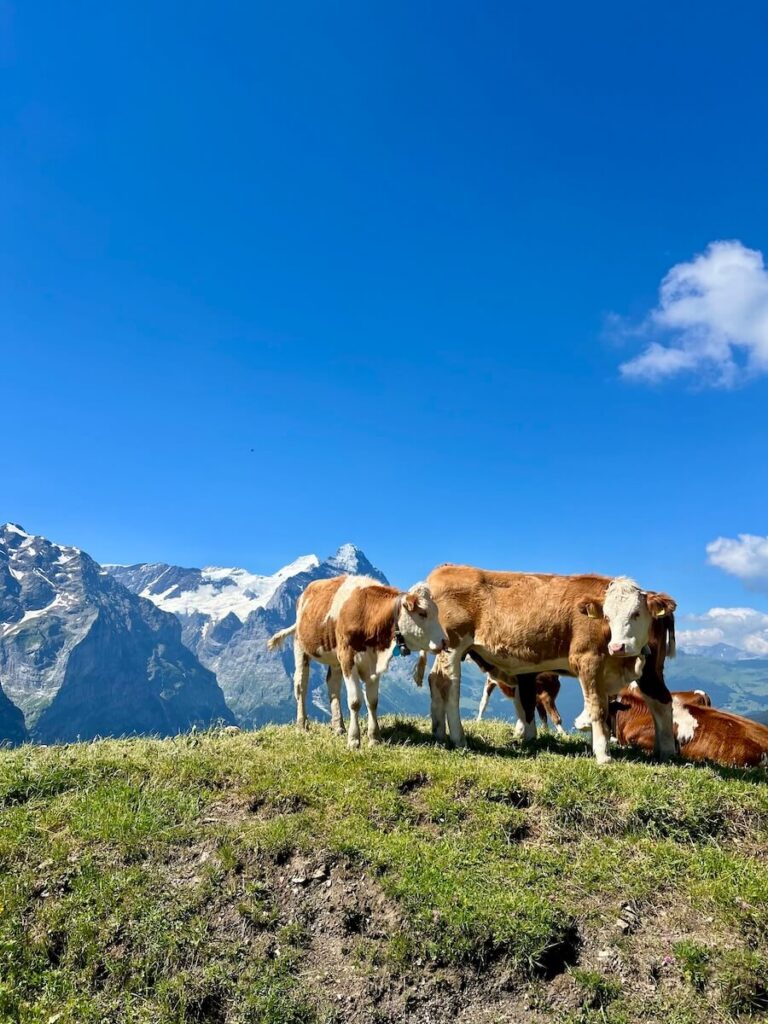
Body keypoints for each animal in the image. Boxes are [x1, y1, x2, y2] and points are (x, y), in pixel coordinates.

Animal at [267, 575, 447, 749]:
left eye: (437, 612)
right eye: (422, 613)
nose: (445, 641)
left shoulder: (373, 665)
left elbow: (372, 701)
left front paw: (374, 738)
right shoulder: (348, 658)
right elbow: (355, 701)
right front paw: (354, 740)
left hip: (335, 656)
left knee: (333, 686)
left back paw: (338, 727)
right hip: (301, 647)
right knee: (301, 686)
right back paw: (302, 725)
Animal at [419, 565, 677, 763]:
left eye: (636, 613)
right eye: (607, 615)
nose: (618, 646)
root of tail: (445, 568)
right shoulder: (587, 659)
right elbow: (598, 707)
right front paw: (603, 755)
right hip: (453, 644)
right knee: (449, 684)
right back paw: (458, 737)